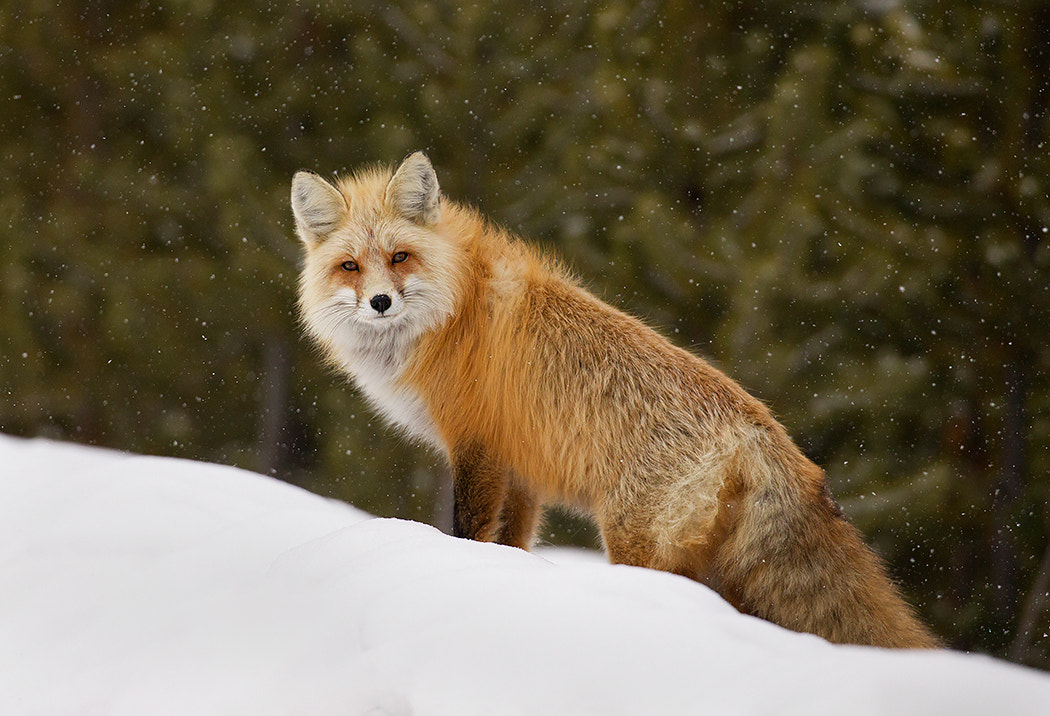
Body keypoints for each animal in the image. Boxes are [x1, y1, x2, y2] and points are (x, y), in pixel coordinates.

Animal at [290, 151, 940, 649]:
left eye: (400, 257)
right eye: (350, 266)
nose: (379, 302)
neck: (453, 309)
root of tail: (761, 427)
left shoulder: (476, 445)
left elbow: (467, 532)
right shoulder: (520, 466)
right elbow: (515, 543)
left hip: (636, 543)